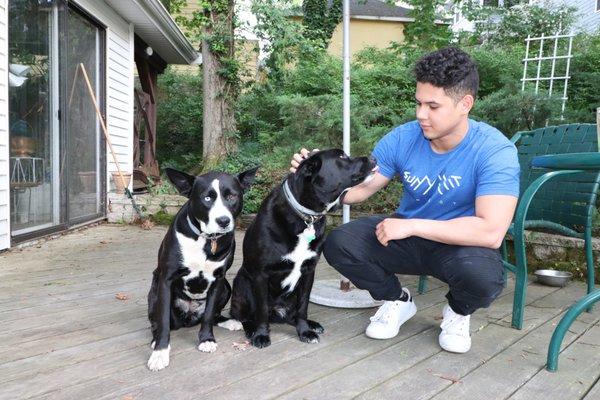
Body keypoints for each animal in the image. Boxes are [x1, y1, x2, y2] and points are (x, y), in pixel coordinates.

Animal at [148, 166, 258, 372]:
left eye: (232, 196)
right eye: (207, 198)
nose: (223, 220)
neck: (206, 239)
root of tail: (189, 317)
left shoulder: (218, 279)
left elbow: (208, 315)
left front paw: (206, 339)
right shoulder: (166, 279)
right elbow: (164, 319)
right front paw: (160, 352)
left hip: (227, 287)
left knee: (213, 314)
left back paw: (228, 321)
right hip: (154, 288)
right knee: (157, 320)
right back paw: (154, 338)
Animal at [230, 149, 376, 346]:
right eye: (341, 157)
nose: (374, 158)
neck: (306, 216)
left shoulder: (308, 272)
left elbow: (303, 306)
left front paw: (305, 331)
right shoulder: (261, 274)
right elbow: (261, 310)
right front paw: (261, 334)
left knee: (291, 315)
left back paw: (311, 324)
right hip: (242, 282)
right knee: (244, 316)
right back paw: (251, 329)